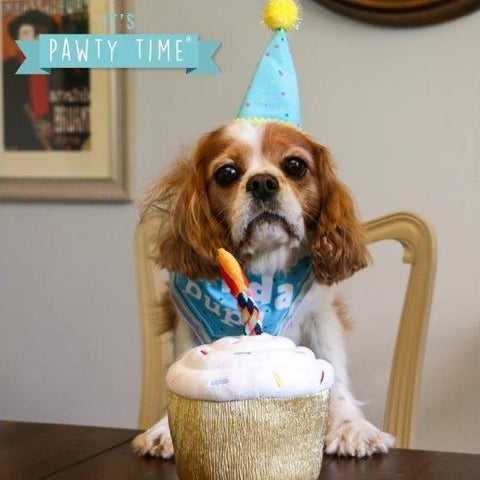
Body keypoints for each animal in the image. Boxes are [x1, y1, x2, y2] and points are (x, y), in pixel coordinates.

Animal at [131, 119, 394, 458]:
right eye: (227, 173)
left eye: (295, 165)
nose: (262, 182)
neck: (264, 267)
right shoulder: (185, 323)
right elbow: (181, 367)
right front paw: (166, 429)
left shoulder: (321, 315)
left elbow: (334, 370)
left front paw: (352, 426)